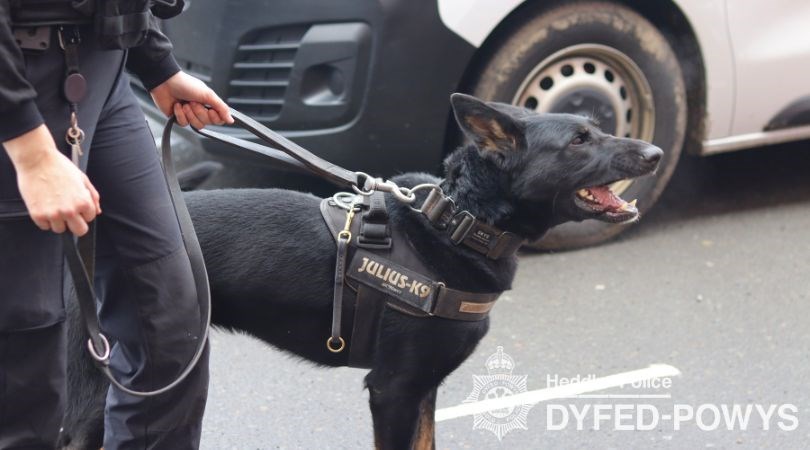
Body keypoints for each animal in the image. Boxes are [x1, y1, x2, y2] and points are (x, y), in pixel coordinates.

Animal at [61, 93, 656, 448]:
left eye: (596, 129)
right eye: (579, 141)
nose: (654, 153)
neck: (458, 223)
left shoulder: (422, 391)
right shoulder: (393, 390)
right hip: (111, 390)